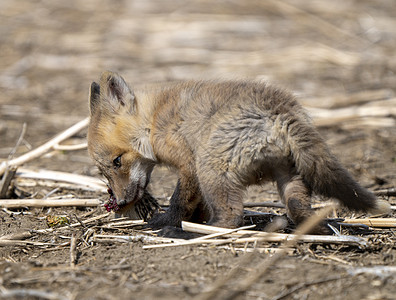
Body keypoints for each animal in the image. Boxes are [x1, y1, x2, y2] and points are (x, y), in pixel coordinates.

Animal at [87, 71, 390, 234]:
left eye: (117, 162)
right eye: (104, 173)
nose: (120, 200)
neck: (153, 122)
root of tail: (281, 110)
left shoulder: (189, 165)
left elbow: (179, 202)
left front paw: (167, 223)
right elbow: (196, 205)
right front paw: (191, 221)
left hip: (210, 169)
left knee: (232, 218)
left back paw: (194, 235)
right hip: (289, 175)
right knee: (298, 208)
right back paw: (316, 231)